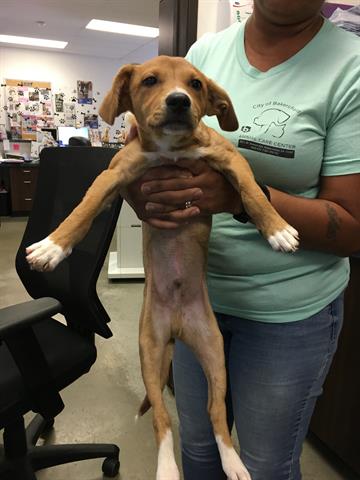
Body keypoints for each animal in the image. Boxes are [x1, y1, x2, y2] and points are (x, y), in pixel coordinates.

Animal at [26, 55, 298, 476]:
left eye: (196, 84)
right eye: (150, 80)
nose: (179, 101)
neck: (172, 150)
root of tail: (177, 328)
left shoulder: (232, 161)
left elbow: (253, 193)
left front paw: (278, 230)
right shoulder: (114, 176)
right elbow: (83, 210)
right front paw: (52, 247)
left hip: (216, 356)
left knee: (214, 414)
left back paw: (233, 464)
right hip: (149, 356)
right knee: (161, 418)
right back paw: (168, 468)